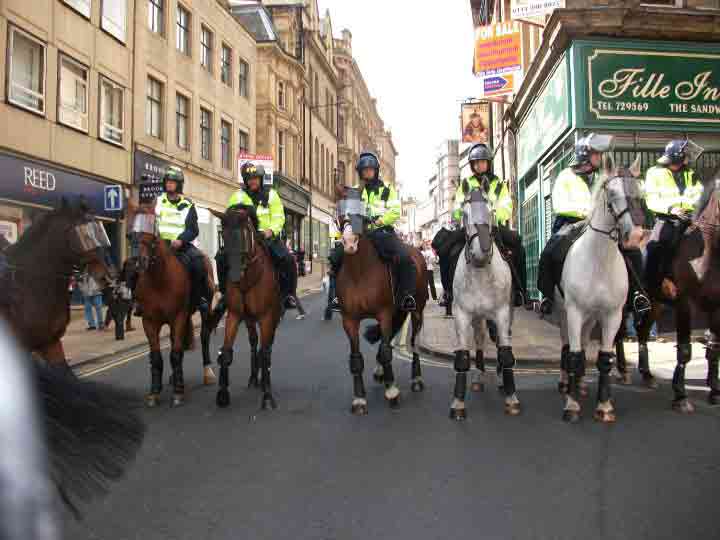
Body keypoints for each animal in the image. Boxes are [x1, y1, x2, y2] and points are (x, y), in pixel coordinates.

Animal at [126, 205, 217, 408]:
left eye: (153, 229)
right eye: (130, 232)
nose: (137, 262)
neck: (159, 279)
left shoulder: (178, 317)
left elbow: (175, 354)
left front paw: (178, 392)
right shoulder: (149, 321)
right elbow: (156, 356)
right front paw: (154, 392)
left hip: (205, 308)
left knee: (204, 337)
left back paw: (207, 373)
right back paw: (174, 377)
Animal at [208, 207, 282, 410]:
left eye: (245, 235)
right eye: (223, 236)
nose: (234, 276)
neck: (248, 279)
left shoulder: (266, 317)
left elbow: (266, 354)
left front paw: (267, 397)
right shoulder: (234, 315)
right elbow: (225, 353)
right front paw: (222, 394)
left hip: (273, 317)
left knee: (267, 346)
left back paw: (263, 380)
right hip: (249, 319)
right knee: (254, 341)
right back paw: (253, 378)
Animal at [336, 185, 430, 414]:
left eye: (362, 209)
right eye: (340, 208)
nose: (349, 242)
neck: (359, 272)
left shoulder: (384, 313)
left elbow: (388, 351)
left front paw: (392, 392)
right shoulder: (349, 320)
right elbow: (356, 358)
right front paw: (359, 399)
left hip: (416, 311)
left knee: (412, 342)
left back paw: (416, 379)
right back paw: (381, 373)